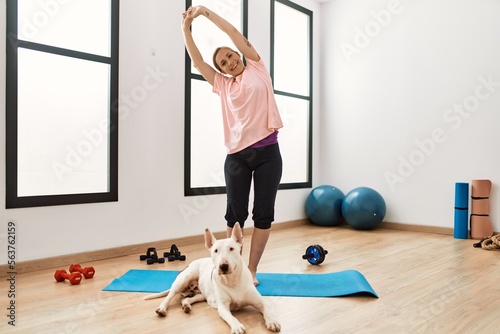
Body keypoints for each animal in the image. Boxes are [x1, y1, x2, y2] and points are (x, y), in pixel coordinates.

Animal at [144, 222, 282, 334]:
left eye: (231, 248)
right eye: (215, 250)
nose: (223, 266)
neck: (232, 281)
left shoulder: (260, 301)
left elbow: (266, 309)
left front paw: (272, 321)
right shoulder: (223, 306)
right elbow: (231, 317)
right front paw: (237, 326)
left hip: (202, 294)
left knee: (188, 299)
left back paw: (186, 305)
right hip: (184, 279)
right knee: (169, 296)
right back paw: (162, 308)